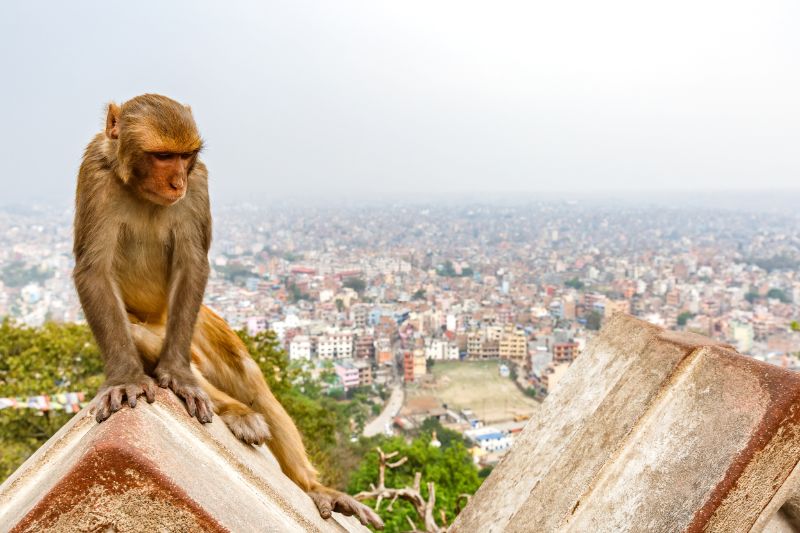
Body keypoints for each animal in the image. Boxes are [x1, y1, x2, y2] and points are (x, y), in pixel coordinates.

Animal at [74, 92, 384, 528]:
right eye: (162, 156)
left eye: (185, 156)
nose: (178, 182)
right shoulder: (95, 172)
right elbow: (94, 269)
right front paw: (125, 379)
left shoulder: (200, 181)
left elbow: (192, 262)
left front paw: (177, 375)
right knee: (139, 333)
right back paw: (232, 409)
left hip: (196, 323)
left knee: (246, 372)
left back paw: (311, 486)